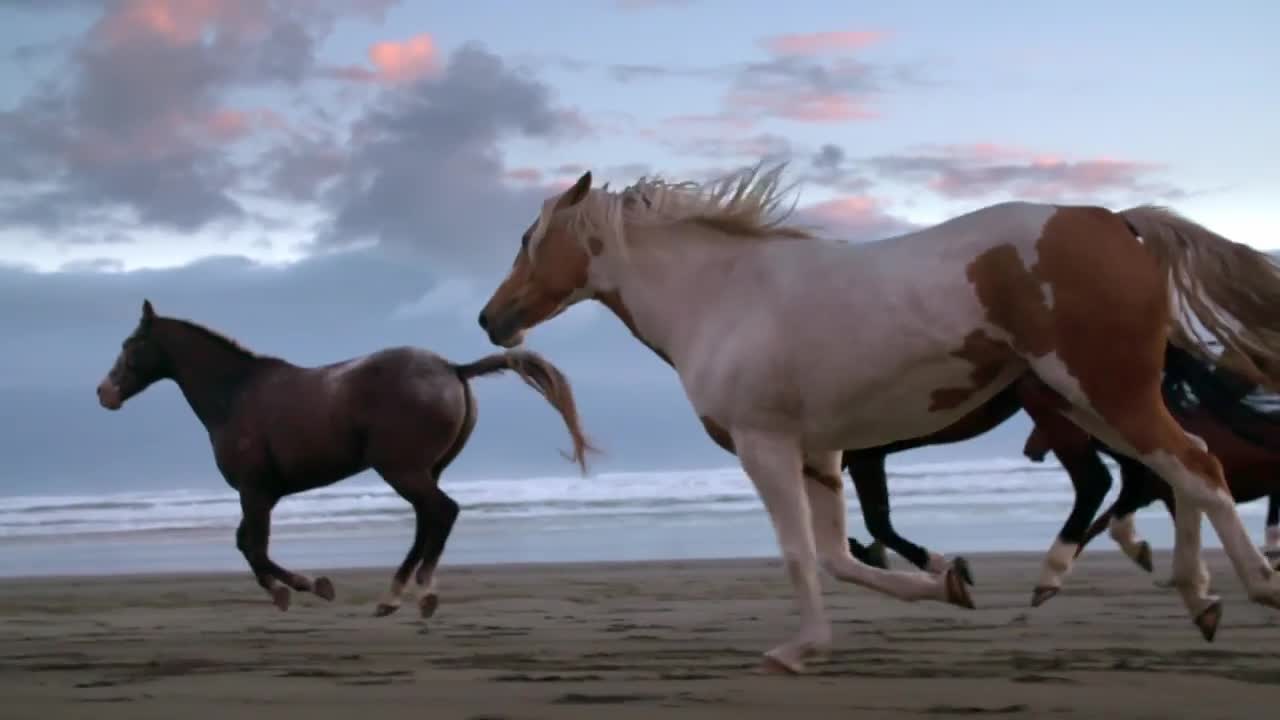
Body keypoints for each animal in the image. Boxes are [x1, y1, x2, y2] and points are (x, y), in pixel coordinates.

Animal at [97, 297, 591, 617]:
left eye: (129, 344)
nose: (104, 392)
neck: (235, 395)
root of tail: (452, 368)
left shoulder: (254, 492)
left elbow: (255, 548)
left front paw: (308, 586)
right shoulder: (263, 494)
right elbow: (245, 545)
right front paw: (288, 590)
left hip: (402, 469)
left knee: (442, 513)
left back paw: (422, 593)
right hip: (424, 470)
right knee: (427, 520)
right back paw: (393, 596)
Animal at [476, 162, 1280, 671]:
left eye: (526, 240)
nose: (491, 319)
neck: (722, 295)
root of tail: (1117, 221)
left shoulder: (766, 446)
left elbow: (802, 554)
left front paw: (798, 650)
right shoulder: (822, 454)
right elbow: (843, 555)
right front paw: (948, 584)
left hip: (1100, 391)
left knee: (1190, 467)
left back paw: (1252, 586)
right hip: (1093, 400)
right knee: (1177, 470)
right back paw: (1197, 597)